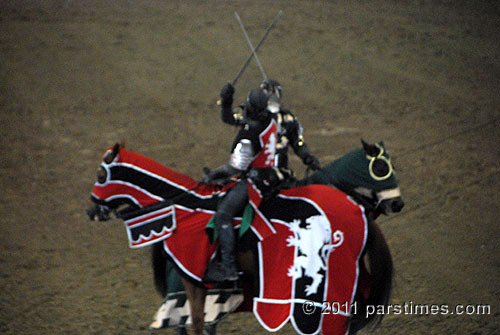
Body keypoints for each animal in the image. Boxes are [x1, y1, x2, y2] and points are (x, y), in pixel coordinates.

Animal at [88, 141, 404, 335]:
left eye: (101, 174)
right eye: (380, 168)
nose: (91, 210)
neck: (183, 207)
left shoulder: (194, 284)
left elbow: (198, 325)